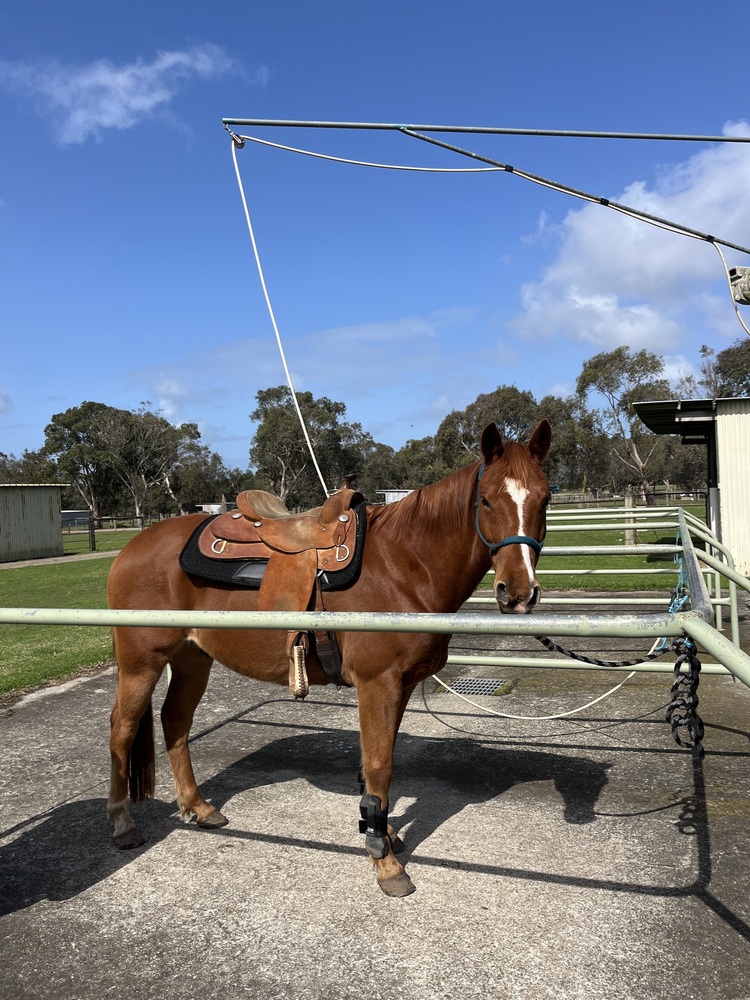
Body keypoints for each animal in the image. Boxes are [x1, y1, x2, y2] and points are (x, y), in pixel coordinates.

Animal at [107, 420, 552, 897]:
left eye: (545, 498)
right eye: (485, 499)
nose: (518, 593)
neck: (406, 565)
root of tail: (133, 546)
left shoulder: (401, 686)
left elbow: (378, 763)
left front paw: (382, 829)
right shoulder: (378, 683)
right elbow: (379, 764)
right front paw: (384, 860)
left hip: (193, 660)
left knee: (175, 722)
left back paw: (198, 807)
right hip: (142, 663)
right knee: (122, 730)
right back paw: (122, 824)